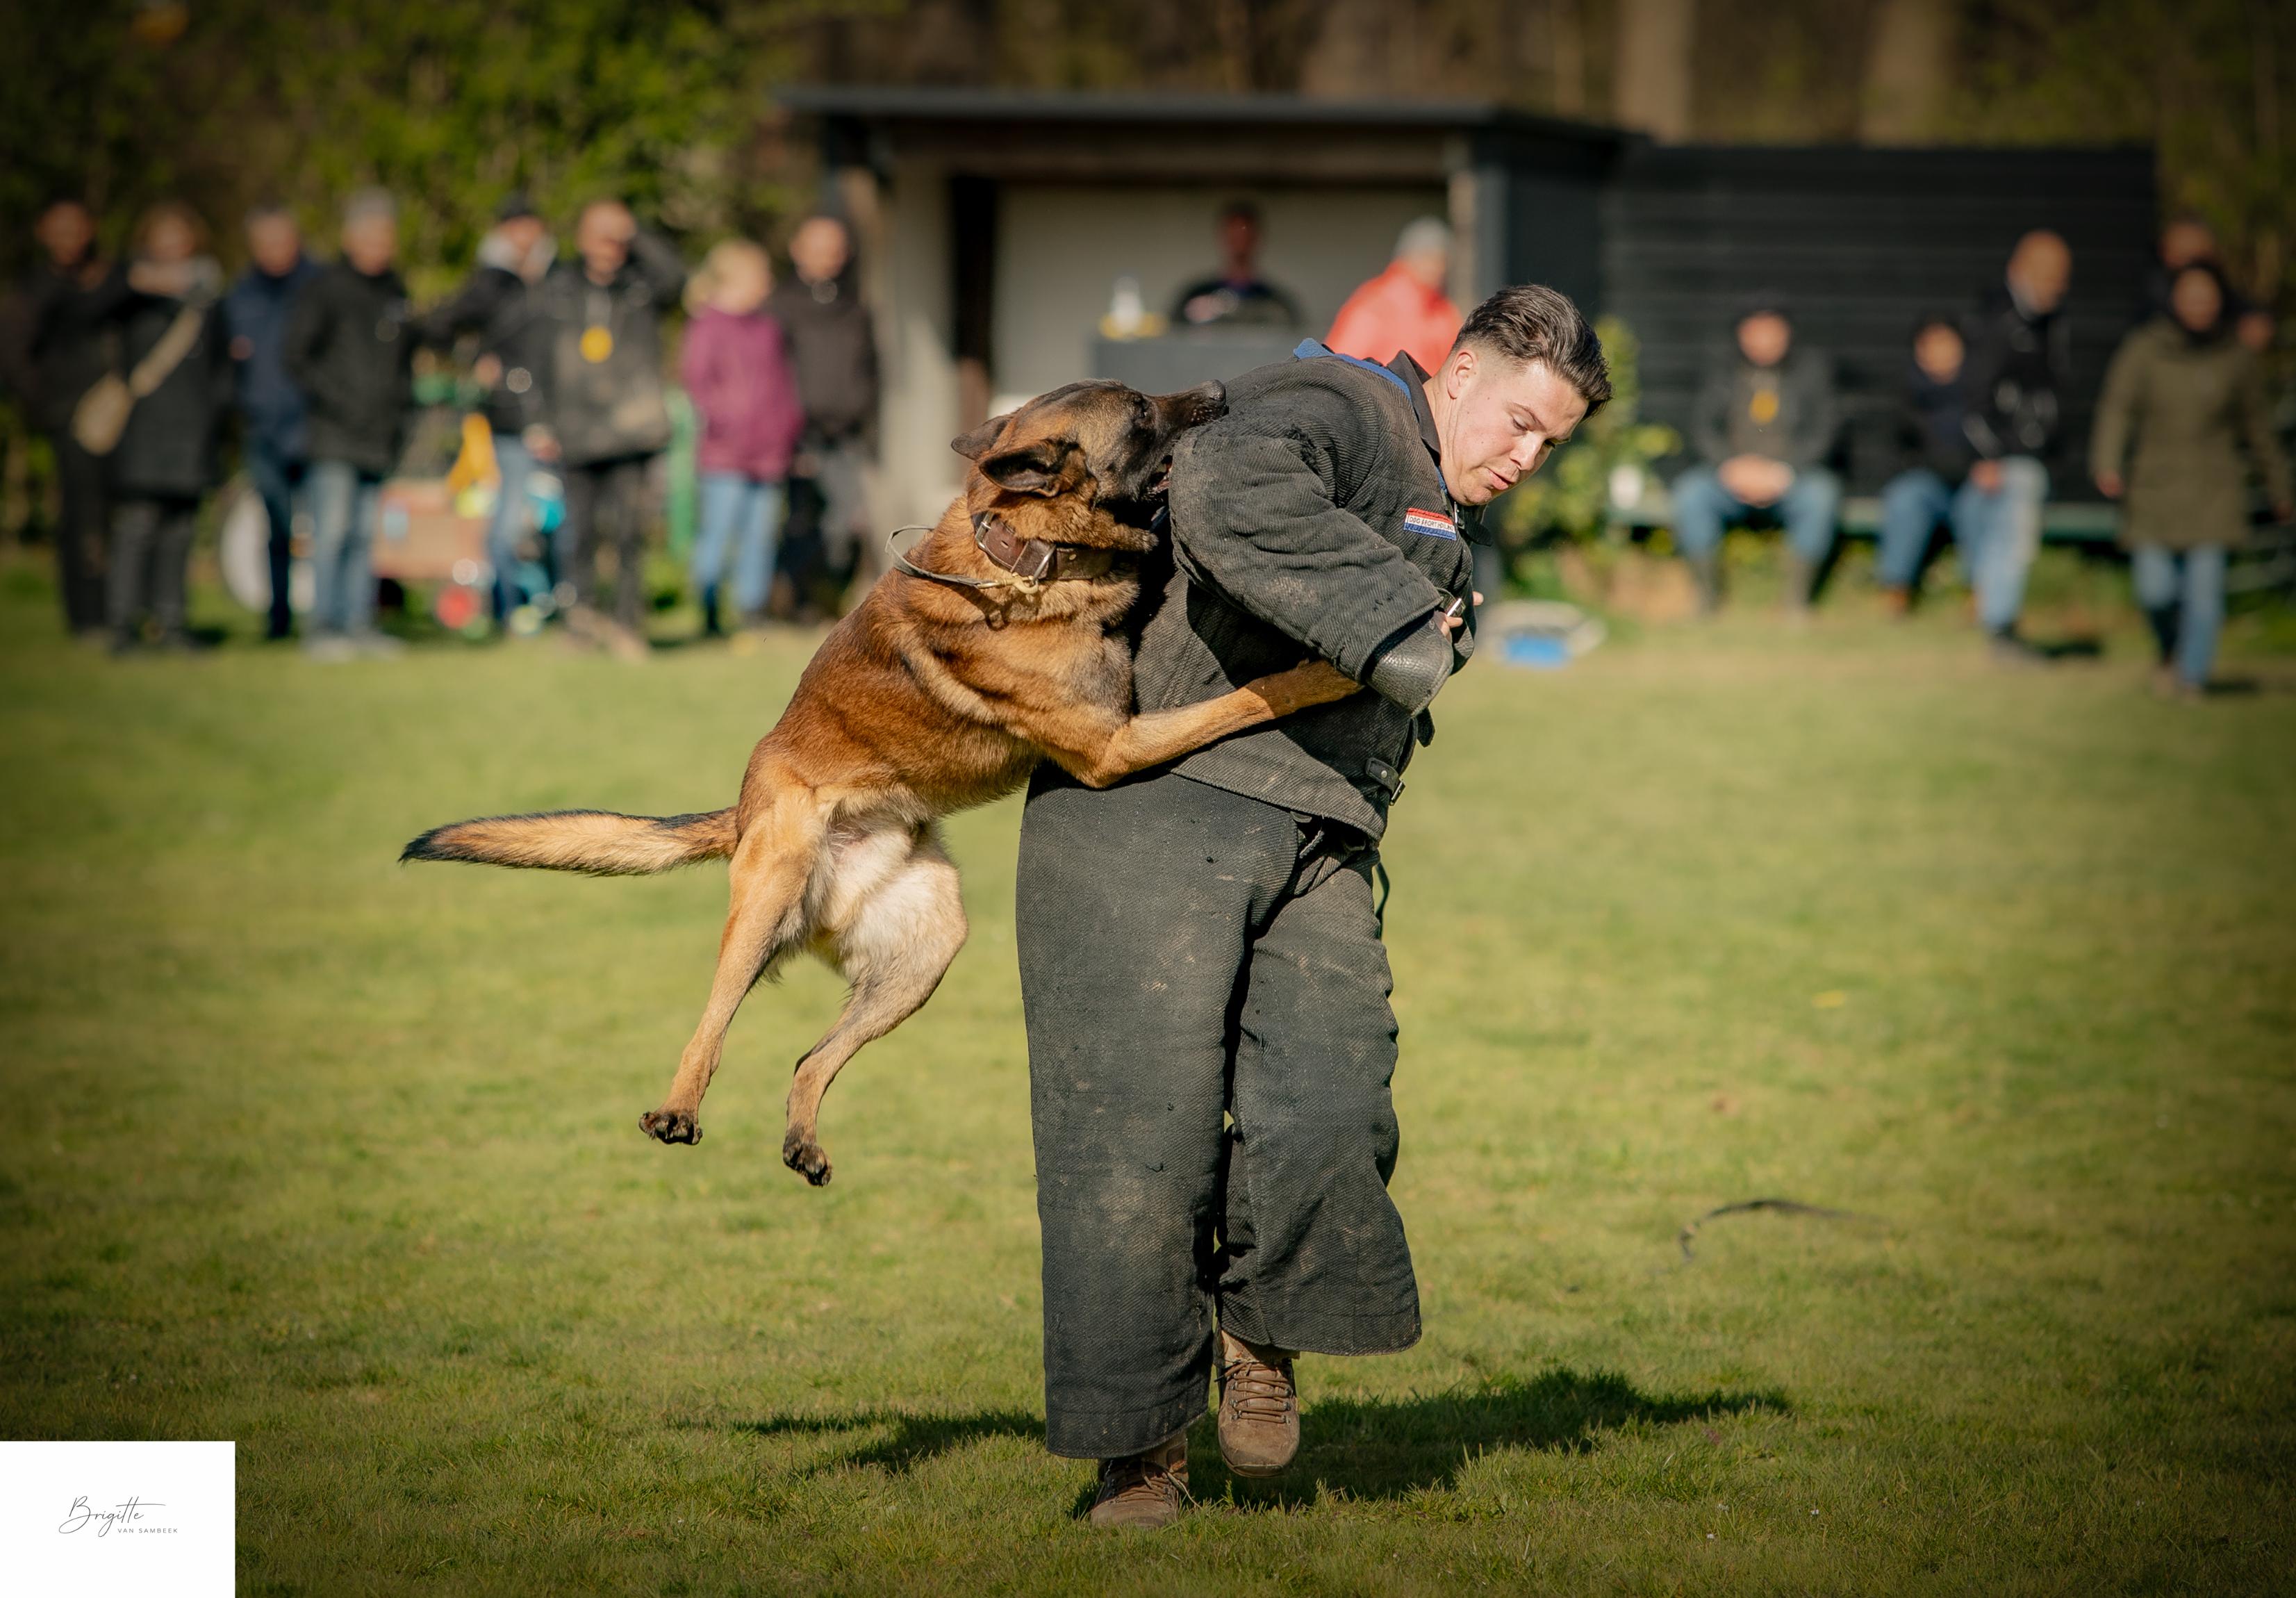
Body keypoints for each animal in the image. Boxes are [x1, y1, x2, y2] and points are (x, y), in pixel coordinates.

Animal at [403, 380, 1360, 1184]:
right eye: (1139, 414)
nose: (1221, 389)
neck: (1020, 550)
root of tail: (744, 810)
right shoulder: (1113, 747)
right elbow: (1241, 699)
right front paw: (1324, 672)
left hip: (924, 948)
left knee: (807, 1058)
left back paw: (800, 1139)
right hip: (766, 899)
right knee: (708, 1025)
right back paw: (677, 1108)